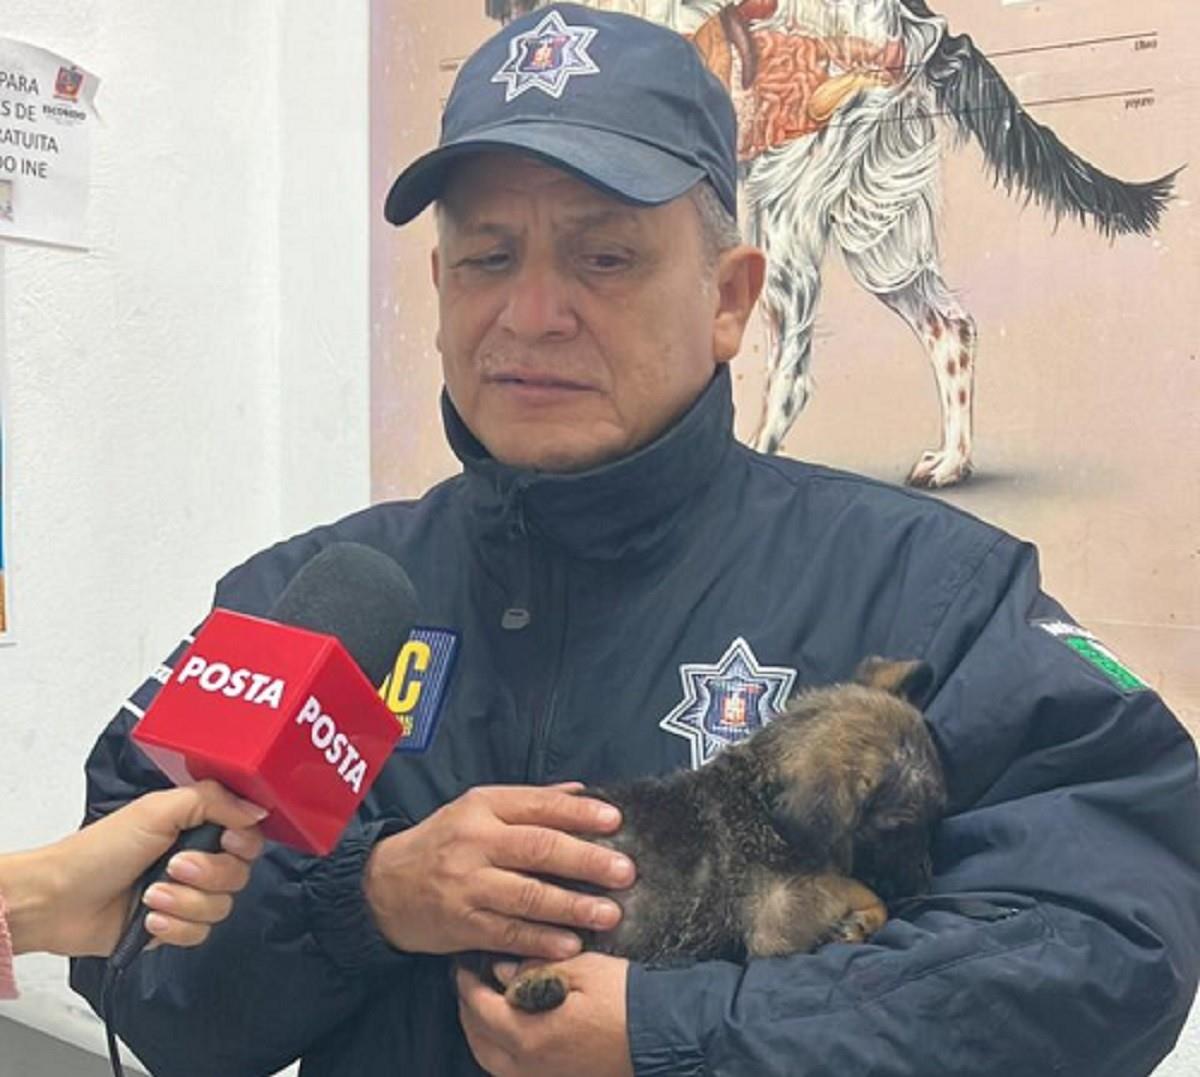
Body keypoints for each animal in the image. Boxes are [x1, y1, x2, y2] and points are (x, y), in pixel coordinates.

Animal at [472, 652, 950, 1012]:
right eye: (898, 830)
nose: (927, 877)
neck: (758, 791)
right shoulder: (780, 914)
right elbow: (857, 886)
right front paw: (862, 918)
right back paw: (537, 983)